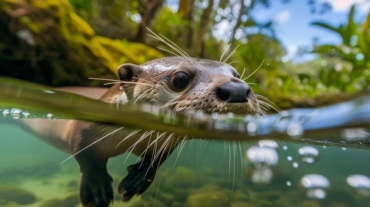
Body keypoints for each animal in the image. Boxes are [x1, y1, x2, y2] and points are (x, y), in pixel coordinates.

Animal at [17, 55, 264, 207]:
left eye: (237, 75)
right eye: (180, 78)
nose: (237, 89)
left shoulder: (165, 143)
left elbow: (156, 160)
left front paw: (136, 179)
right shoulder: (82, 128)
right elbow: (84, 154)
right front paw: (97, 189)